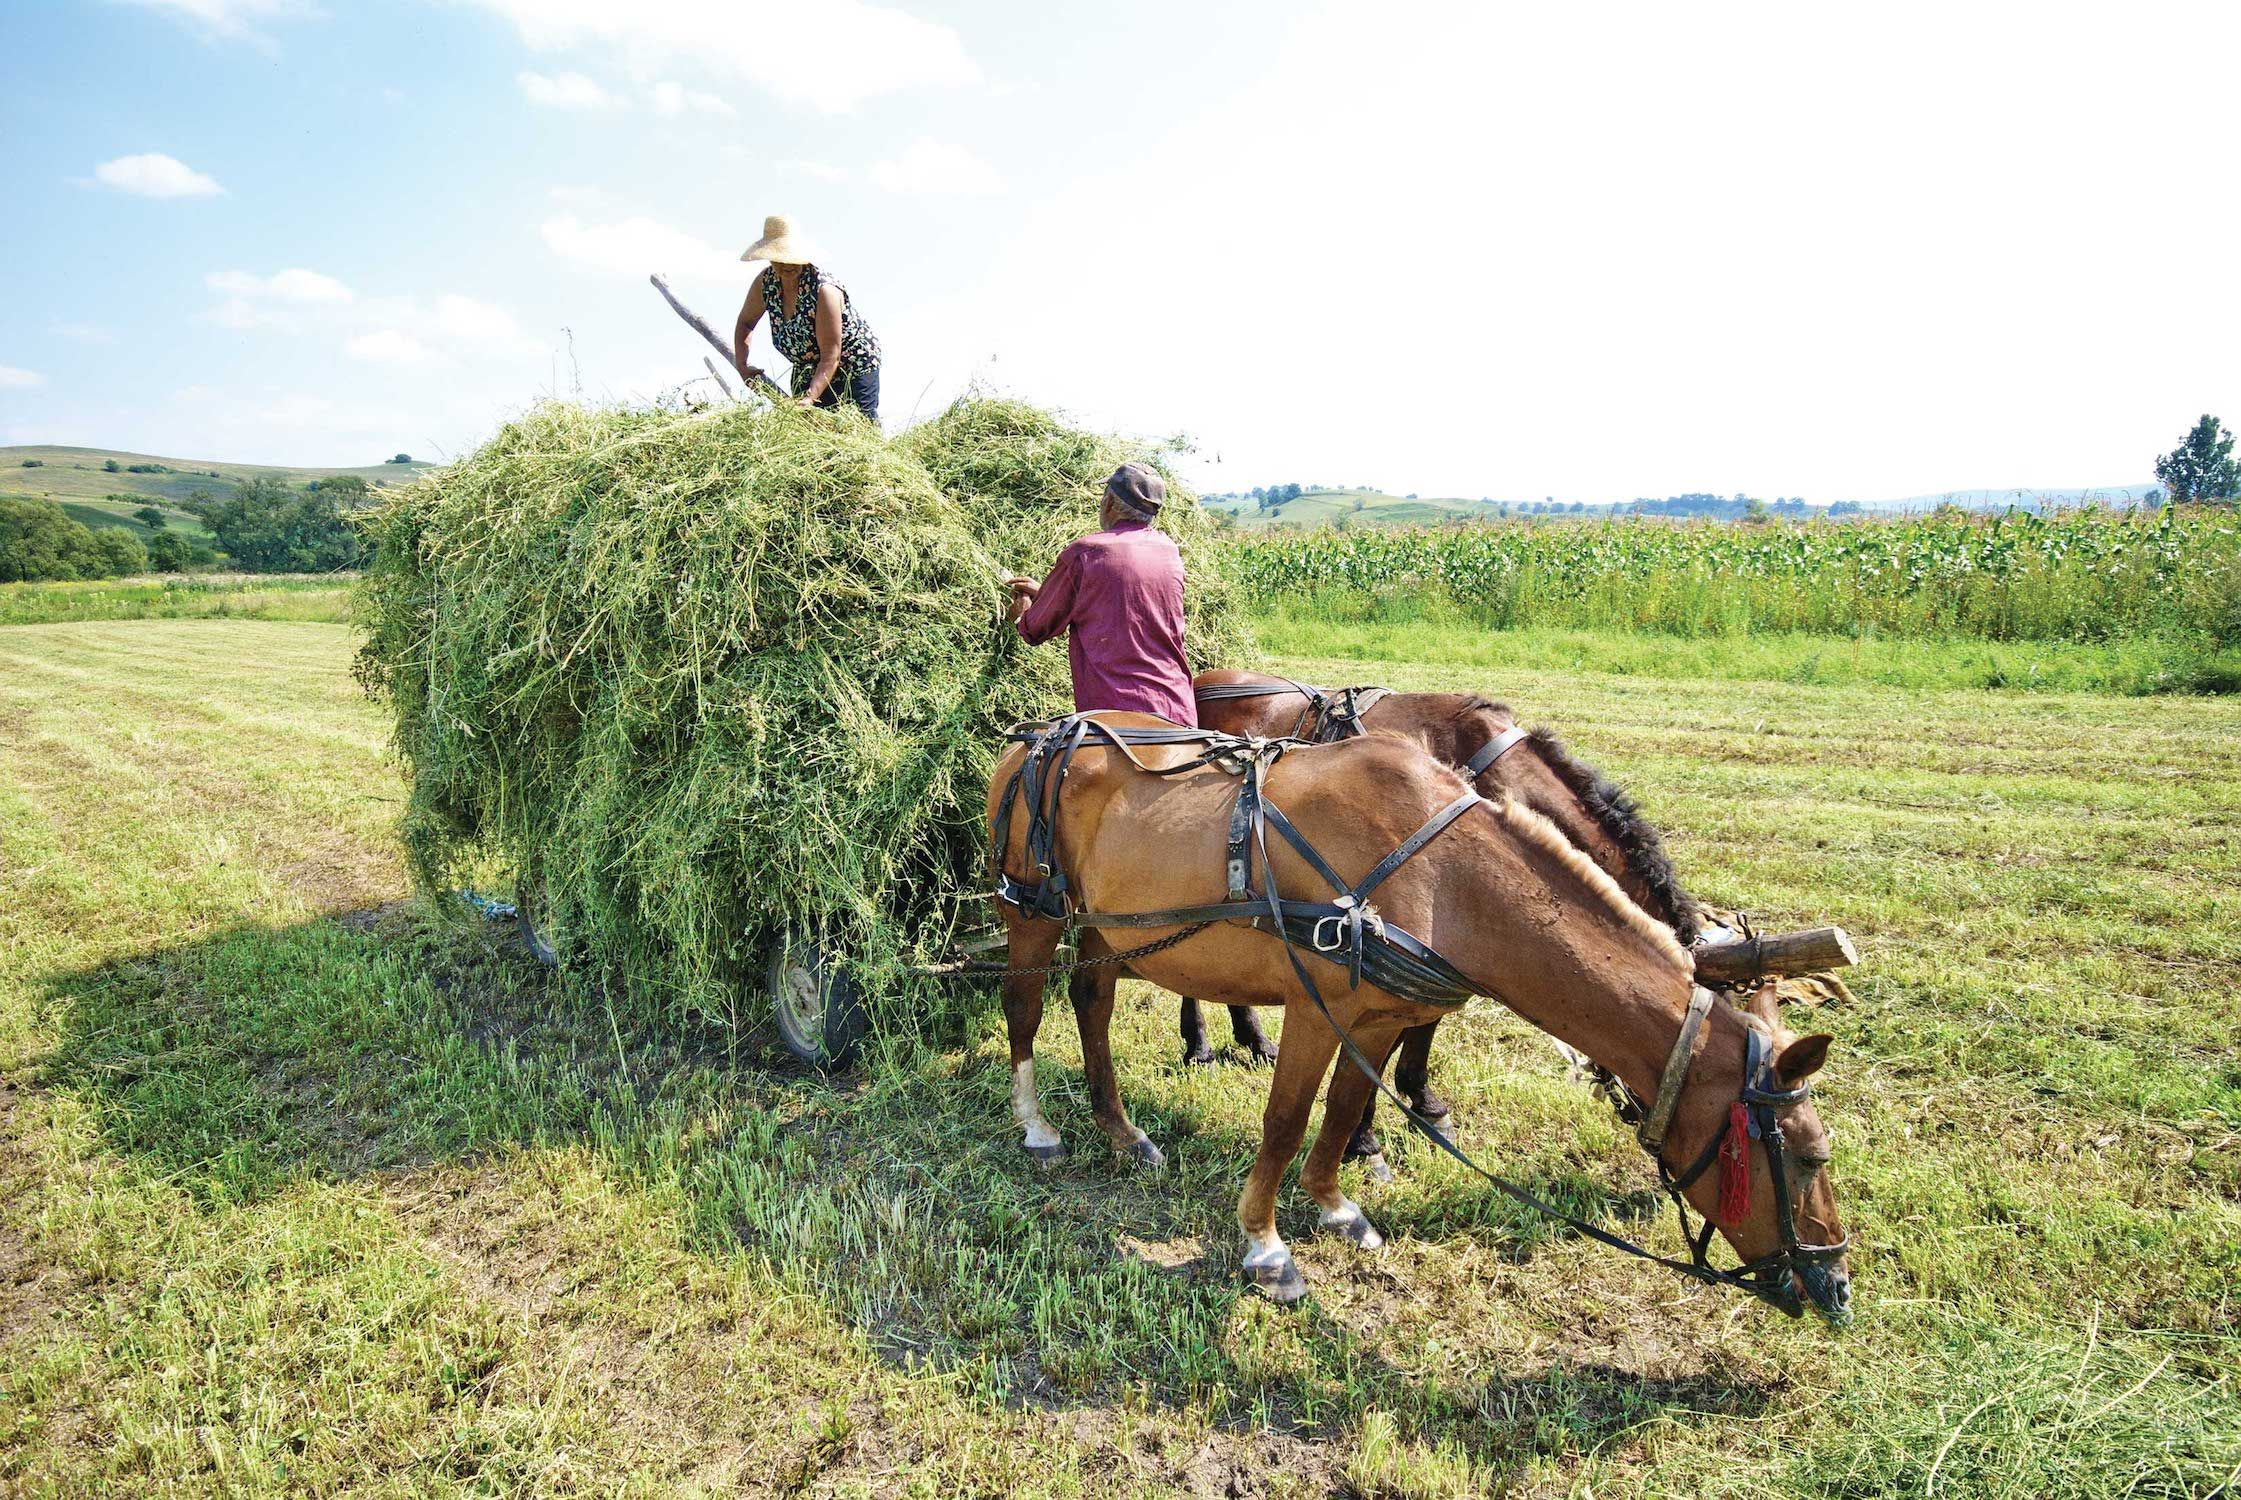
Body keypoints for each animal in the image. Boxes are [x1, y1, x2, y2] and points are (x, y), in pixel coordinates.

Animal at [990, 717, 1846, 1318]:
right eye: (1806, 1157)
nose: (1834, 1284)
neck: (1443, 876)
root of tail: (1036, 734)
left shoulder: (1375, 1018)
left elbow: (1342, 1111)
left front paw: (1336, 1207)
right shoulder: (1316, 1007)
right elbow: (1284, 1121)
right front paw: (1265, 1248)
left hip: (1107, 927)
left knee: (1091, 1005)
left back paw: (1120, 1129)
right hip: (1032, 909)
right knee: (1023, 1010)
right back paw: (1037, 1126)